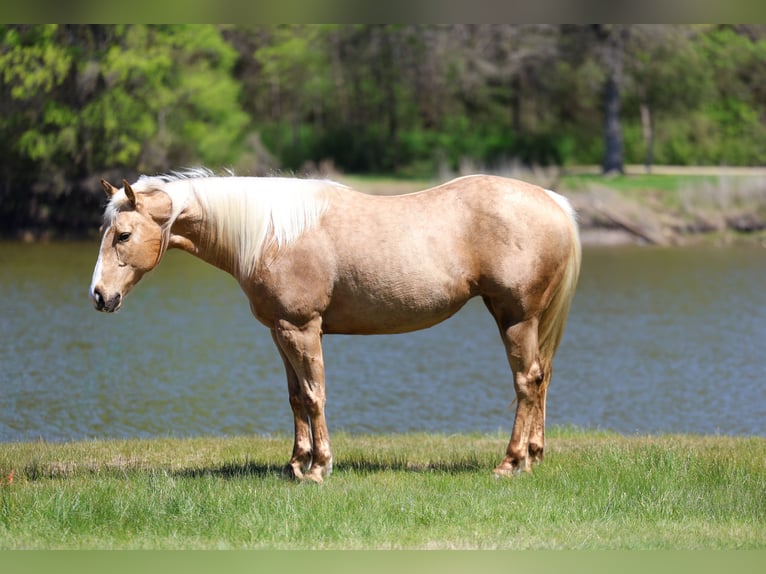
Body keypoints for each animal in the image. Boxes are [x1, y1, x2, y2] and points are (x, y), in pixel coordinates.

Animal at [89, 169, 580, 482]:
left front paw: (319, 467)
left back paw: (510, 463)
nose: (99, 296)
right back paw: (533, 457)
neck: (272, 235)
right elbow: (294, 398)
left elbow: (314, 395)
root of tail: (553, 202)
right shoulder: (279, 331)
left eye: (124, 235)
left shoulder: (302, 328)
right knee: (541, 379)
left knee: (525, 382)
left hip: (516, 319)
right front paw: (295, 464)